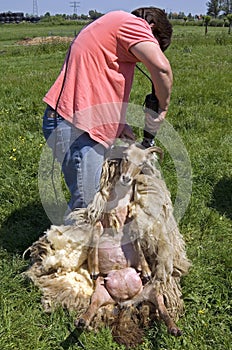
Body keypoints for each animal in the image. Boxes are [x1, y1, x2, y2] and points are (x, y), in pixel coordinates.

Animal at [23, 142, 190, 348]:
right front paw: (94, 268)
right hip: (101, 294)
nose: (126, 178)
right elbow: (95, 237)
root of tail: (126, 302)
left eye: (142, 163)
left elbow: (137, 244)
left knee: (162, 308)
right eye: (125, 158)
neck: (120, 202)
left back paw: (174, 328)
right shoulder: (99, 222)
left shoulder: (132, 222)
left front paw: (144, 268)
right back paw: (82, 320)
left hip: (153, 291)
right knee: (93, 307)